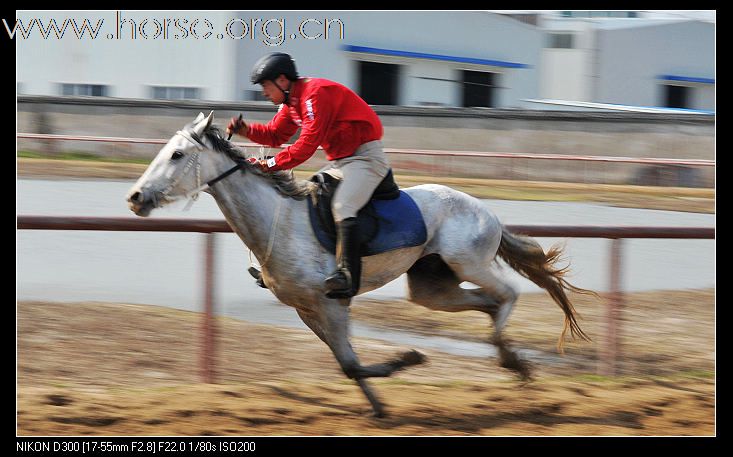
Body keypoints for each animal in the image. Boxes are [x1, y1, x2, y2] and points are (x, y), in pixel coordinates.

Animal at [126, 111, 592, 416]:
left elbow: (350, 363)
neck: (279, 221)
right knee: (488, 303)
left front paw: (407, 361)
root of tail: (487, 211)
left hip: (468, 261)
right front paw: (382, 399)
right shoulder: (306, 307)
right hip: (431, 286)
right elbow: (347, 365)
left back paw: (509, 358)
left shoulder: (333, 302)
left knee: (507, 293)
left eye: (176, 155)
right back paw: (510, 357)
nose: (135, 197)